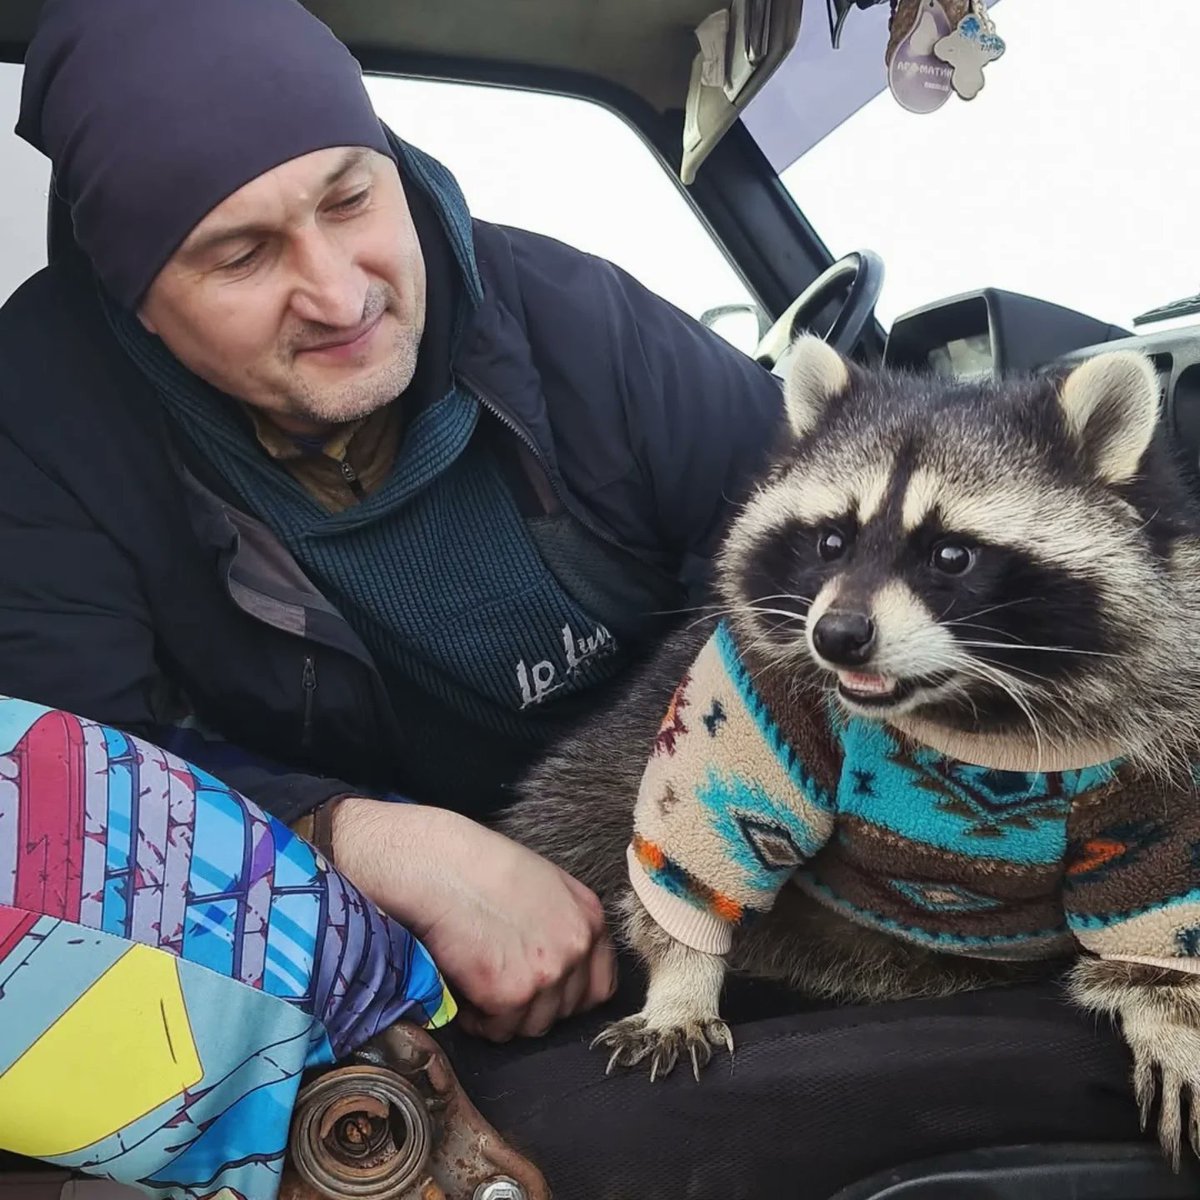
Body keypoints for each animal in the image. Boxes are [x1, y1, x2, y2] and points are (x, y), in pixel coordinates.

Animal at [500, 335, 1200, 1167]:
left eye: (951, 555)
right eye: (831, 540)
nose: (837, 636)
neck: (958, 706)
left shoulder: (1155, 736)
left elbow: (1152, 885)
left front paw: (1167, 1011)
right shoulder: (755, 691)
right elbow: (703, 839)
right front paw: (681, 979)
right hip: (608, 759)